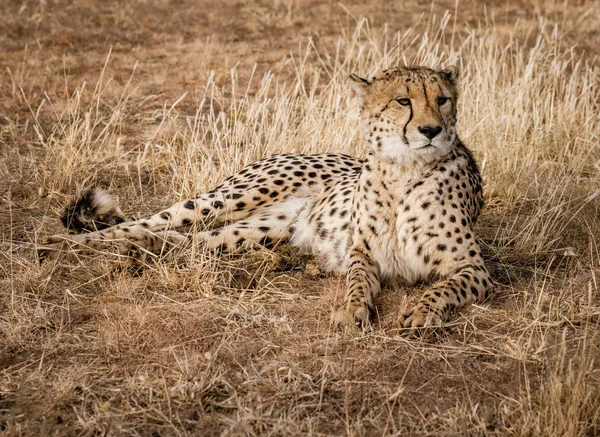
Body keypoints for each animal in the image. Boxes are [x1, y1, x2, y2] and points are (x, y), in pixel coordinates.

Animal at [39, 65, 494, 330]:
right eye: (403, 100)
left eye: (443, 100)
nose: (432, 130)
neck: (404, 171)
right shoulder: (361, 254)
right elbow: (356, 282)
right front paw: (352, 310)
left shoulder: (474, 269)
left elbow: (442, 289)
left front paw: (422, 310)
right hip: (229, 198)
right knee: (141, 223)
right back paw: (58, 245)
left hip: (255, 231)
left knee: (181, 242)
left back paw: (137, 253)